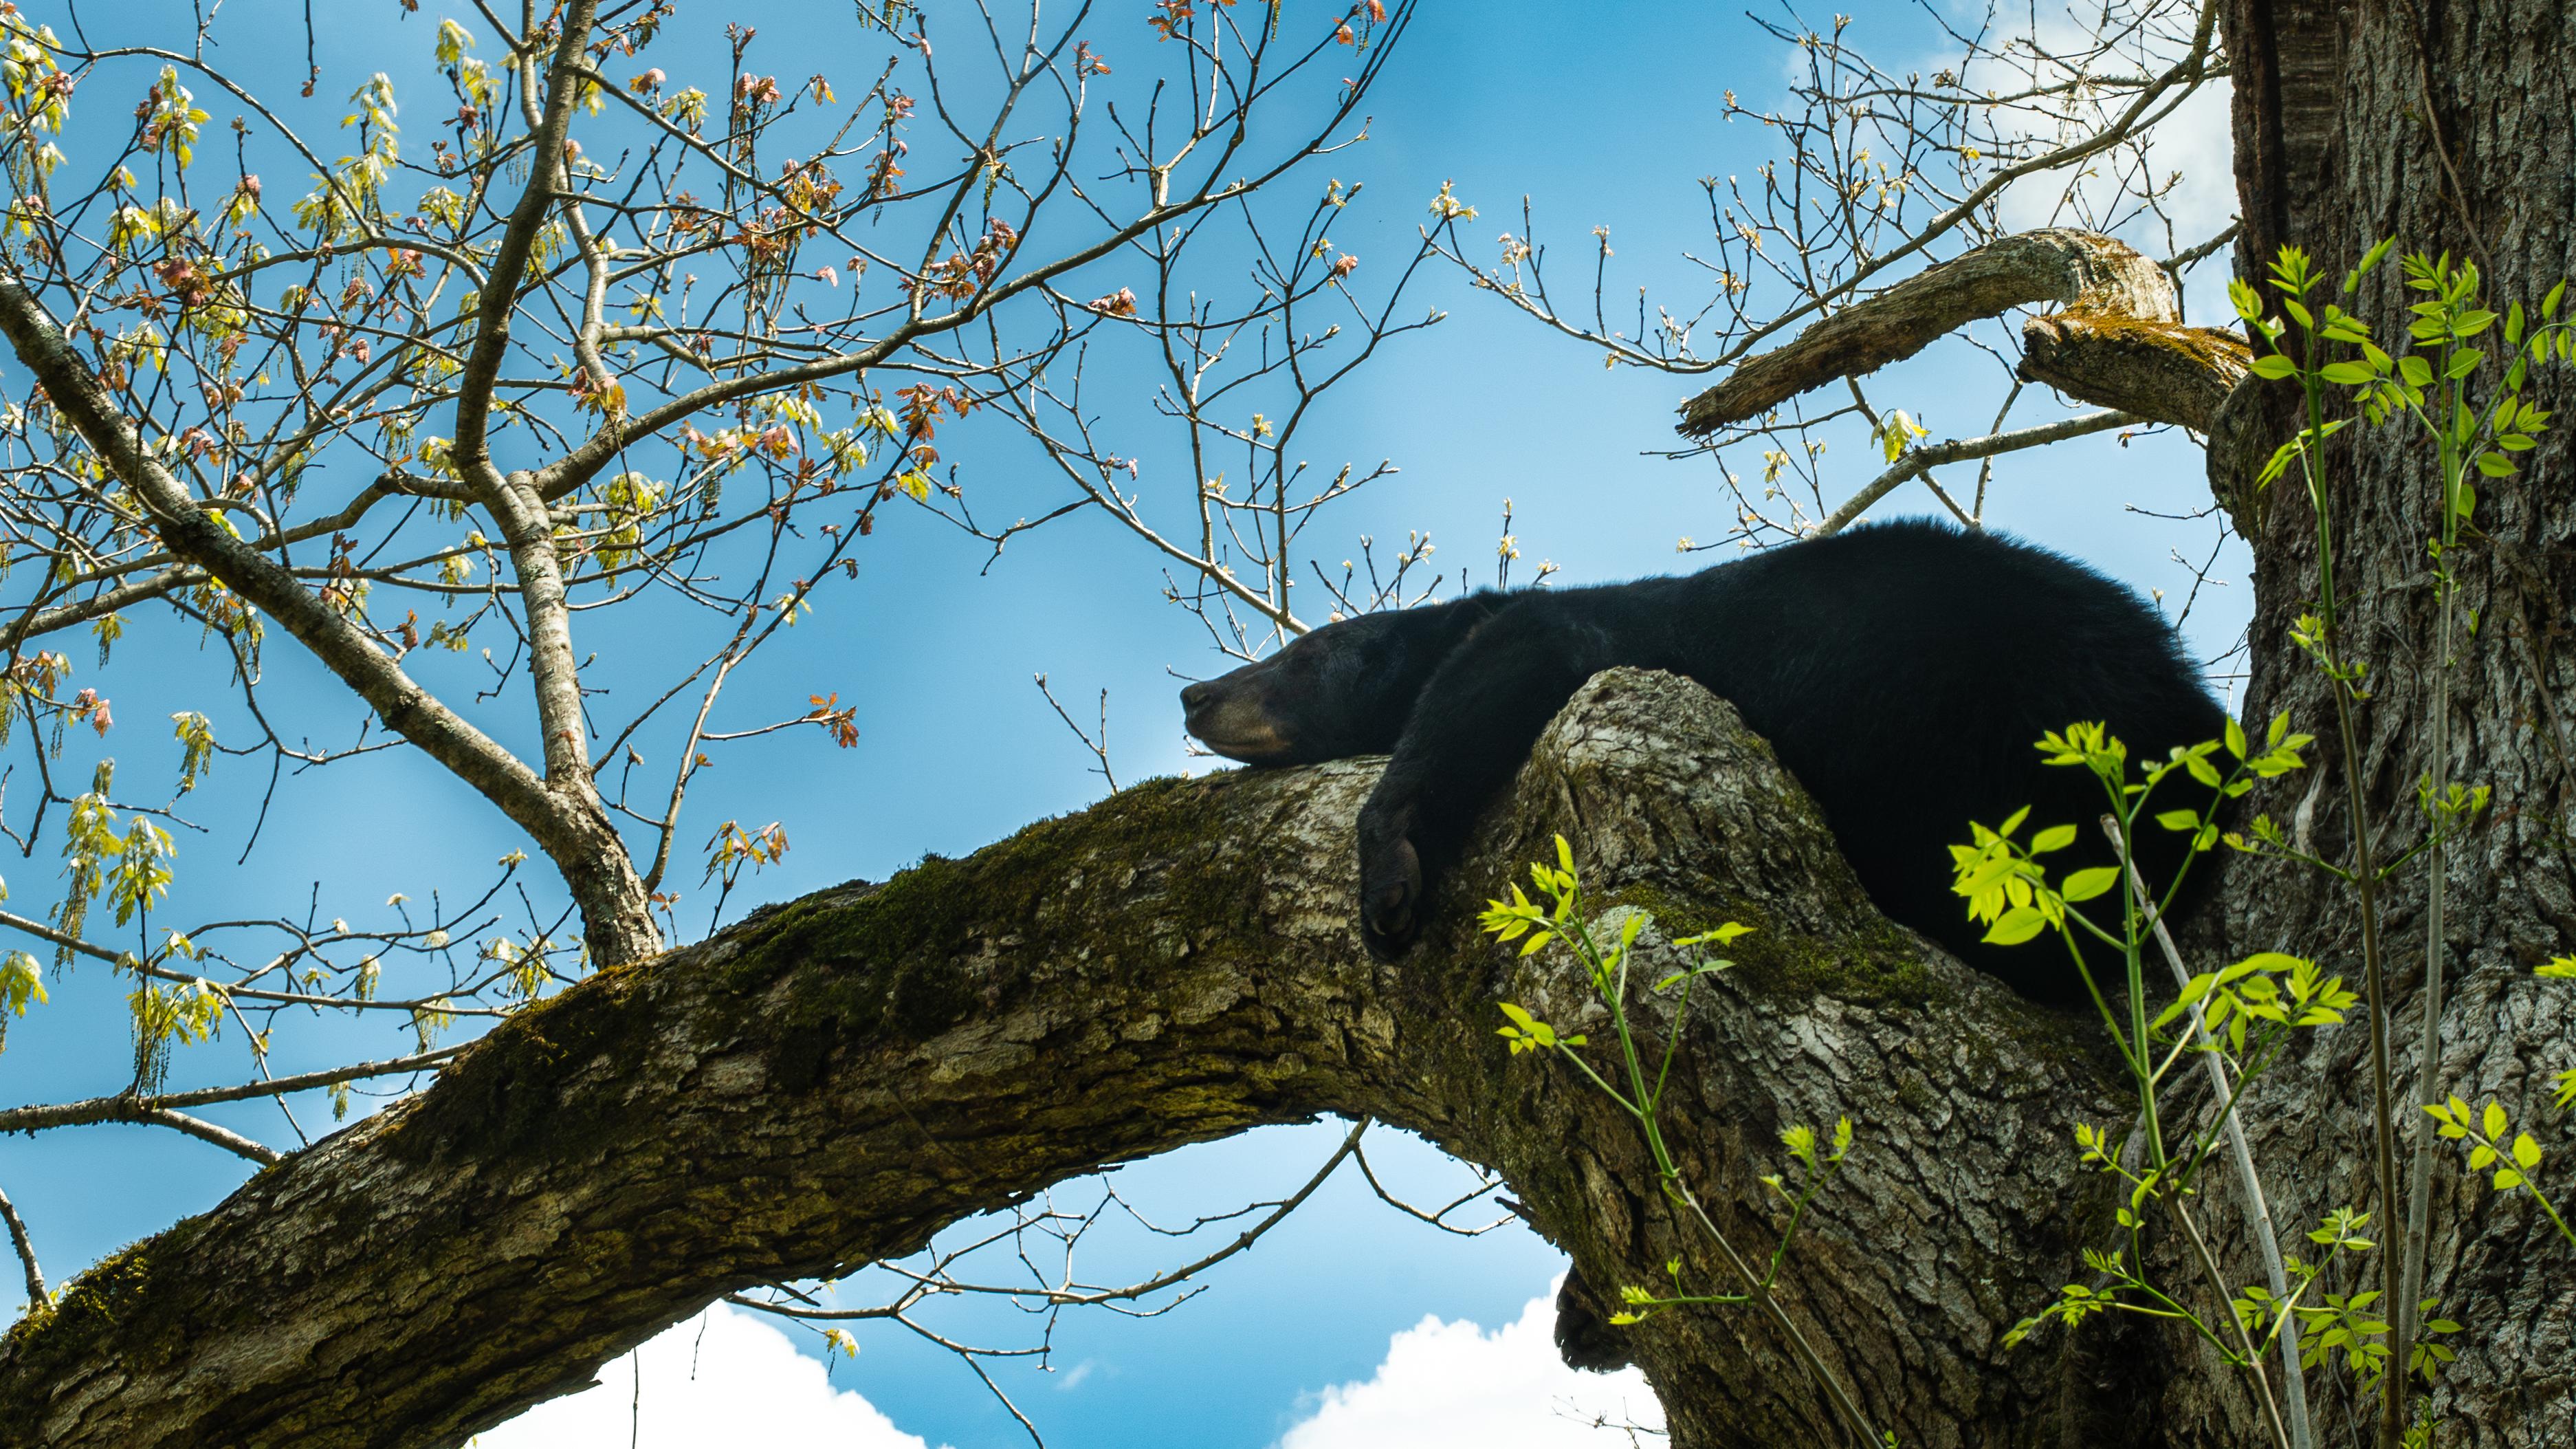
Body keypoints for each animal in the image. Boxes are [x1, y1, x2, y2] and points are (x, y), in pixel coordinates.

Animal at [1179, 519, 2229, 1003]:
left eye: (1299, 656)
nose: (1196, 693)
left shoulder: (1578, 630)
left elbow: (1507, 665)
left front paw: (1389, 879)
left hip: (1979, 713)